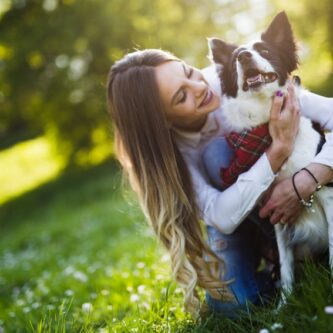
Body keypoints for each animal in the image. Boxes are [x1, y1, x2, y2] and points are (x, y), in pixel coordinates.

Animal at [208, 11, 332, 304]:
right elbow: (286, 270)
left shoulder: (329, 197)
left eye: (264, 51)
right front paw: (285, 306)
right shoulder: (277, 215)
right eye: (235, 58)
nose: (243, 57)